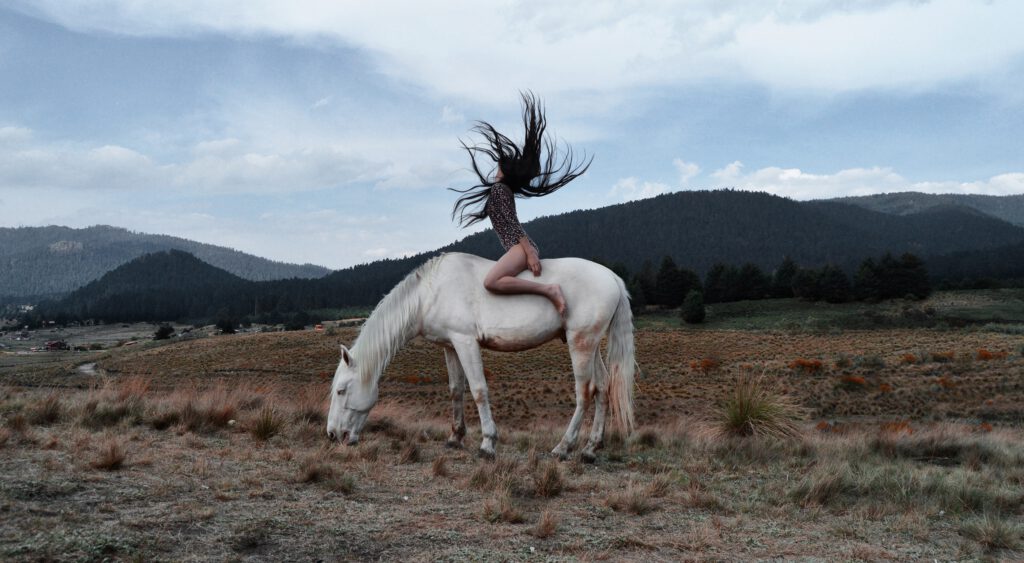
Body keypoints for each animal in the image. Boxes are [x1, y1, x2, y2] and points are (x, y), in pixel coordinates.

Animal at [325, 252, 630, 462]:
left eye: (341, 391)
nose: (332, 435)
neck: (430, 293)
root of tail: (612, 277)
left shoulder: (465, 342)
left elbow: (479, 390)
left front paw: (487, 445)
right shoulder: (450, 345)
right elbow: (456, 390)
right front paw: (455, 437)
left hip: (581, 343)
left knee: (585, 392)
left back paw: (563, 448)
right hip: (591, 346)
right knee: (603, 388)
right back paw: (590, 449)